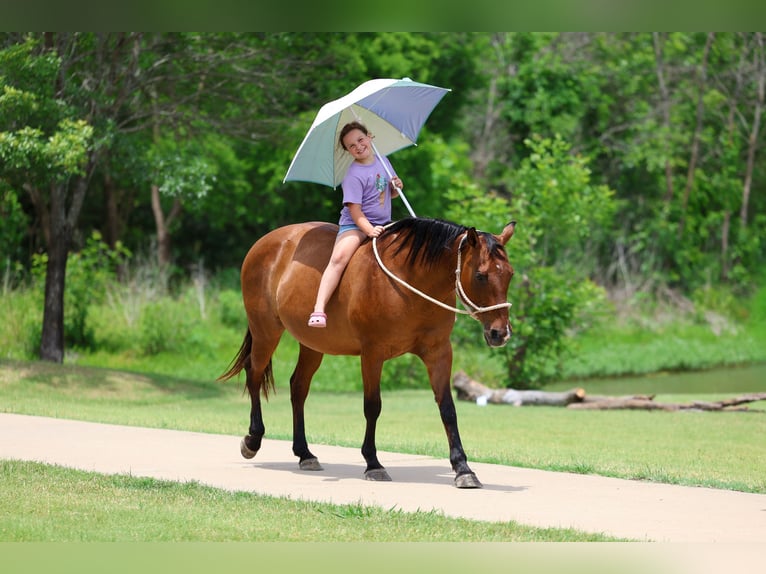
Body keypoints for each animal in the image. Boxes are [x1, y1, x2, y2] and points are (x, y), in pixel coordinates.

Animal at [219, 217, 516, 488]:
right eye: (481, 275)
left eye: (510, 274)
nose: (500, 333)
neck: (409, 281)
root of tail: (267, 241)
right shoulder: (373, 353)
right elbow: (372, 406)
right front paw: (373, 463)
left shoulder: (439, 352)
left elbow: (448, 408)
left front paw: (463, 468)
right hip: (266, 331)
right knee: (254, 374)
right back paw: (253, 439)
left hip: (312, 345)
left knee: (298, 387)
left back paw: (305, 454)